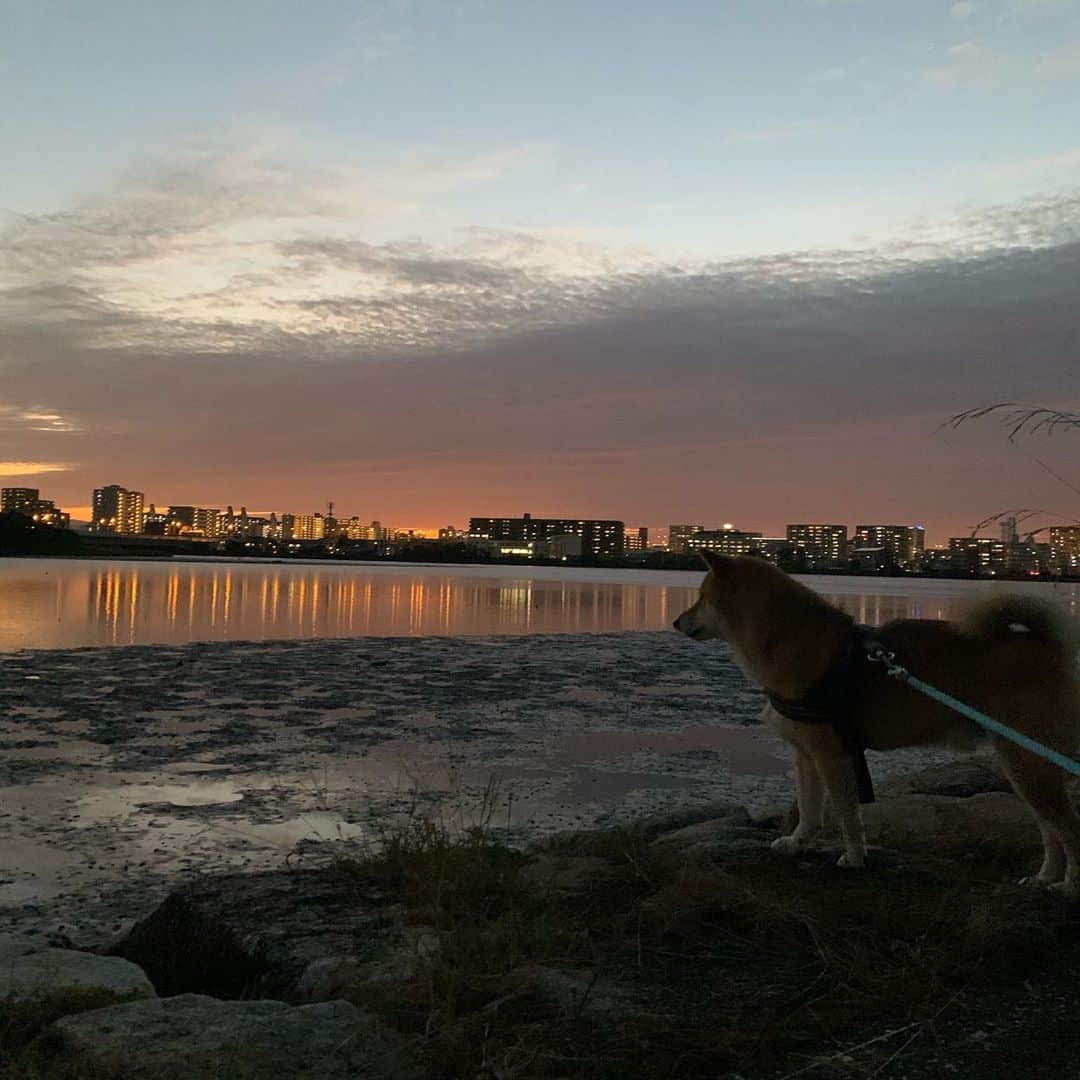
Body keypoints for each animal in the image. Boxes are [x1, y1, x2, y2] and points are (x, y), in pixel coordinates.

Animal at [673, 548, 1080, 894]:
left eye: (701, 597)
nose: (676, 621)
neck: (785, 641)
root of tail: (1049, 646)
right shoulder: (805, 756)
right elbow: (809, 810)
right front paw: (797, 844)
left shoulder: (831, 755)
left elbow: (846, 814)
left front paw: (854, 858)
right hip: (1024, 765)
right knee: (1050, 831)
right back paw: (1044, 879)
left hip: (1028, 763)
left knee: (1068, 828)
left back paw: (1068, 886)